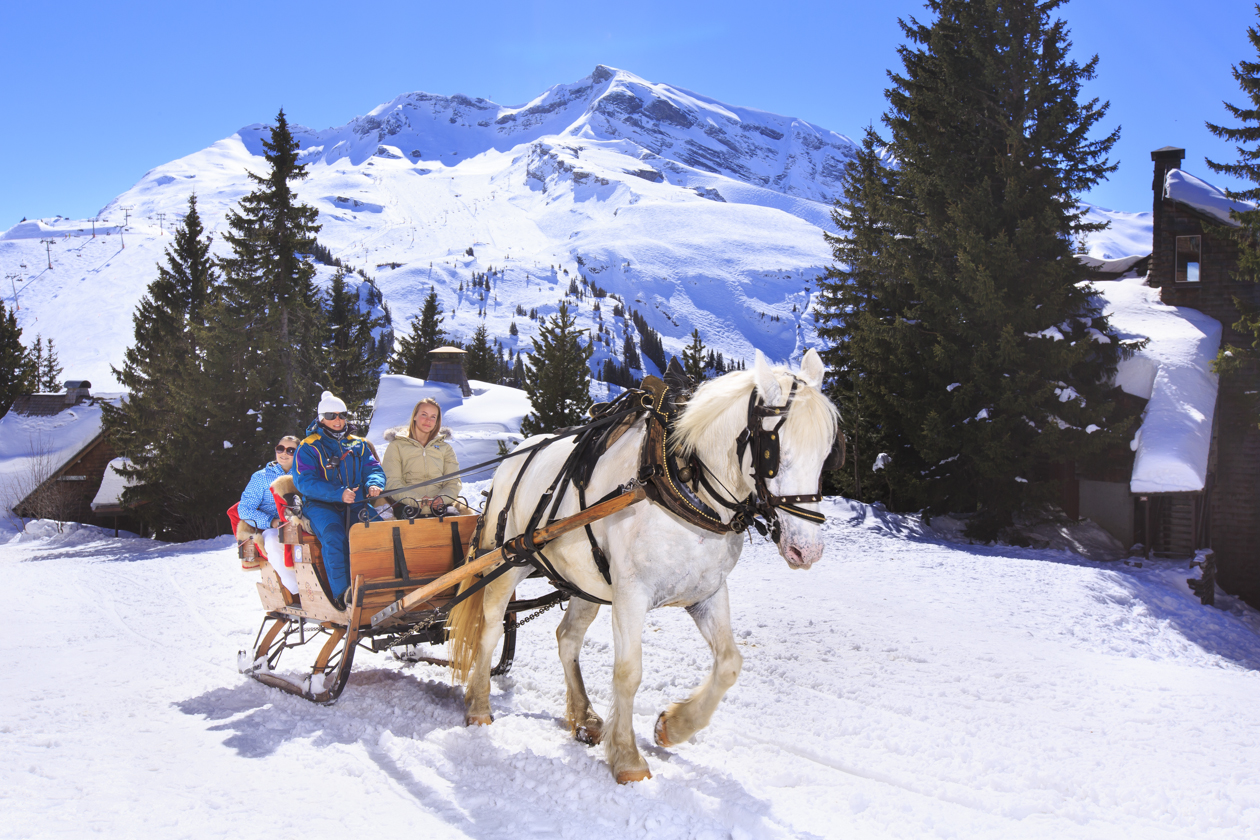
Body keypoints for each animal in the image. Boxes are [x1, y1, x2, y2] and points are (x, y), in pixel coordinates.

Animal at [448, 347, 841, 780]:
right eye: (774, 452)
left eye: (828, 452)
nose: (807, 551)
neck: (683, 481)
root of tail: (509, 463)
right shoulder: (631, 593)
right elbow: (628, 672)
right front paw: (627, 757)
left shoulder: (706, 591)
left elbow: (730, 663)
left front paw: (674, 726)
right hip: (510, 560)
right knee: (490, 627)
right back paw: (479, 705)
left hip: (586, 582)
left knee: (567, 638)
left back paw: (584, 716)